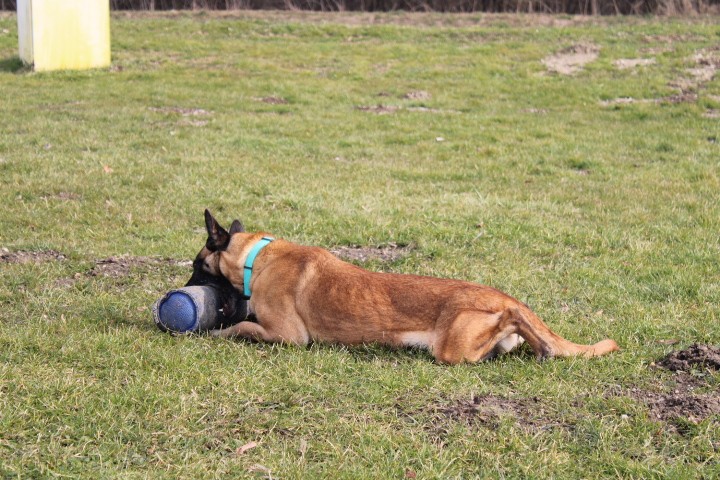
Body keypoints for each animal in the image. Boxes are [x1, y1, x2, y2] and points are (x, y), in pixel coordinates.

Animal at [195, 210, 620, 364]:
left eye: (196, 267)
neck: (256, 256)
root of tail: (505, 297)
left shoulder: (288, 336)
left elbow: (242, 327)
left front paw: (215, 332)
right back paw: (542, 346)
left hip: (453, 349)